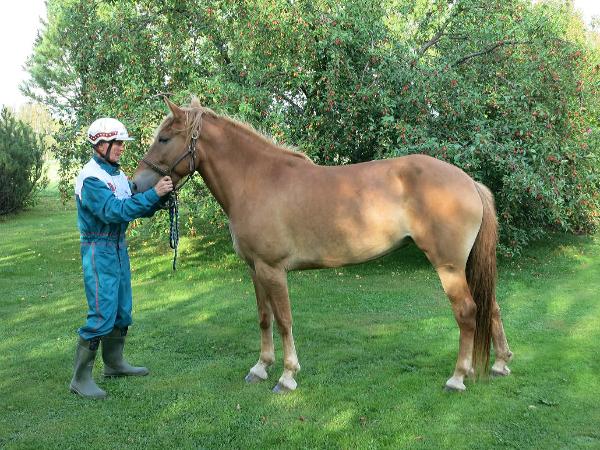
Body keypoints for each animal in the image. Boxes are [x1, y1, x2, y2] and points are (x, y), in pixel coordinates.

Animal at [132, 97, 513, 393]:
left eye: (164, 138)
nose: (136, 185)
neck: (256, 180)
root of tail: (468, 181)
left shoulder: (273, 270)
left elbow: (284, 320)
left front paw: (287, 376)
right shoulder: (255, 269)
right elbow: (264, 318)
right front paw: (260, 367)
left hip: (448, 266)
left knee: (467, 312)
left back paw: (458, 377)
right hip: (465, 265)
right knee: (490, 306)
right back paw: (500, 364)